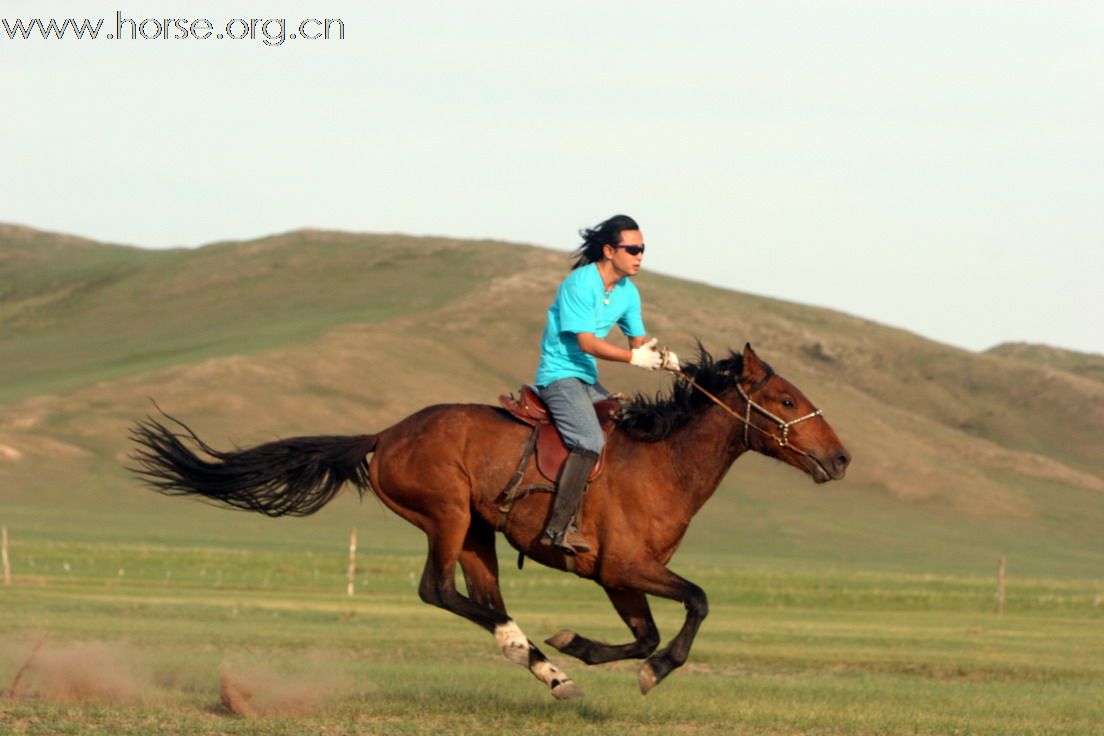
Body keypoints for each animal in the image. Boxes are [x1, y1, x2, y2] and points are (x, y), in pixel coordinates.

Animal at [131, 342, 852, 701]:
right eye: (786, 399)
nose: (841, 458)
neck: (663, 461)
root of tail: (384, 434)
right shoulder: (626, 567)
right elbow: (696, 603)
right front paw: (650, 672)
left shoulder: (618, 577)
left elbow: (646, 633)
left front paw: (579, 646)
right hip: (447, 515)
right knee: (439, 590)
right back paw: (522, 648)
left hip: (479, 531)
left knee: (479, 596)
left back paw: (549, 669)